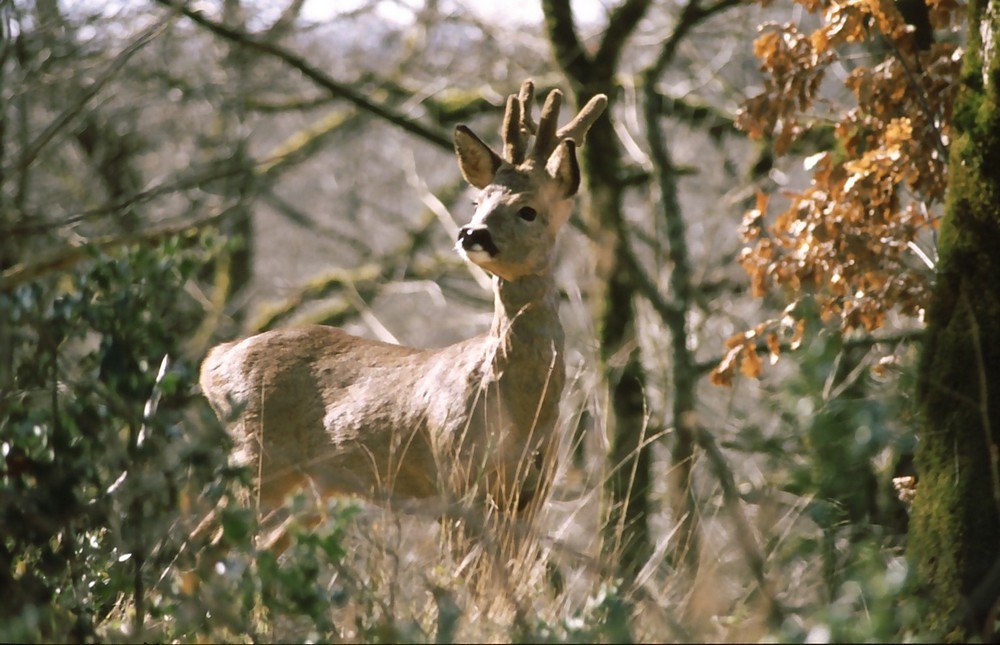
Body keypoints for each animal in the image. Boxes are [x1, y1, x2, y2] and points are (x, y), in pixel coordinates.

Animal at [195, 78, 600, 544]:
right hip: (259, 457)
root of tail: (215, 361)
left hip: (312, 487)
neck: (521, 406)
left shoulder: (530, 498)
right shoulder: (455, 481)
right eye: (477, 201)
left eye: (528, 210)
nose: (471, 233)